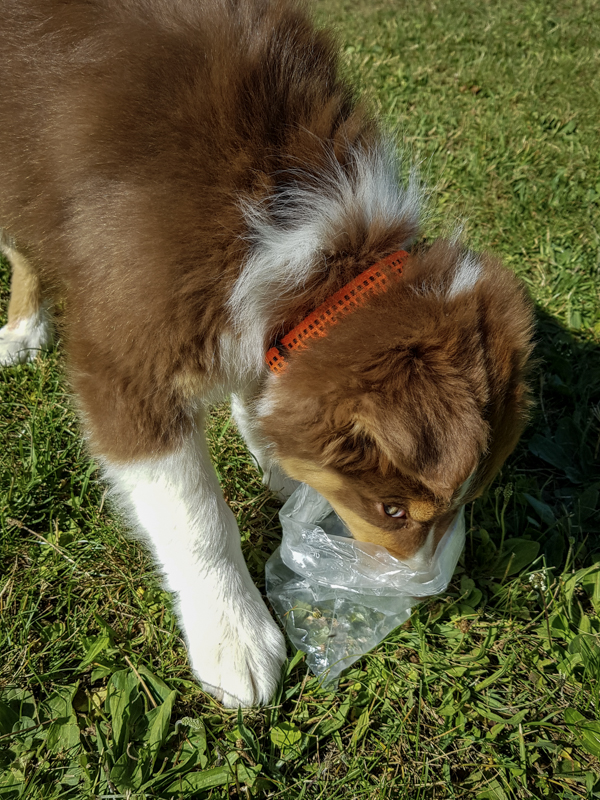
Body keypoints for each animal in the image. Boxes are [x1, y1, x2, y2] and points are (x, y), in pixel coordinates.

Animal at [0, 0, 536, 708]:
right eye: (392, 510)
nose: (418, 589)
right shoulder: (127, 359)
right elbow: (194, 513)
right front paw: (234, 637)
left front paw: (277, 463)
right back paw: (23, 327)